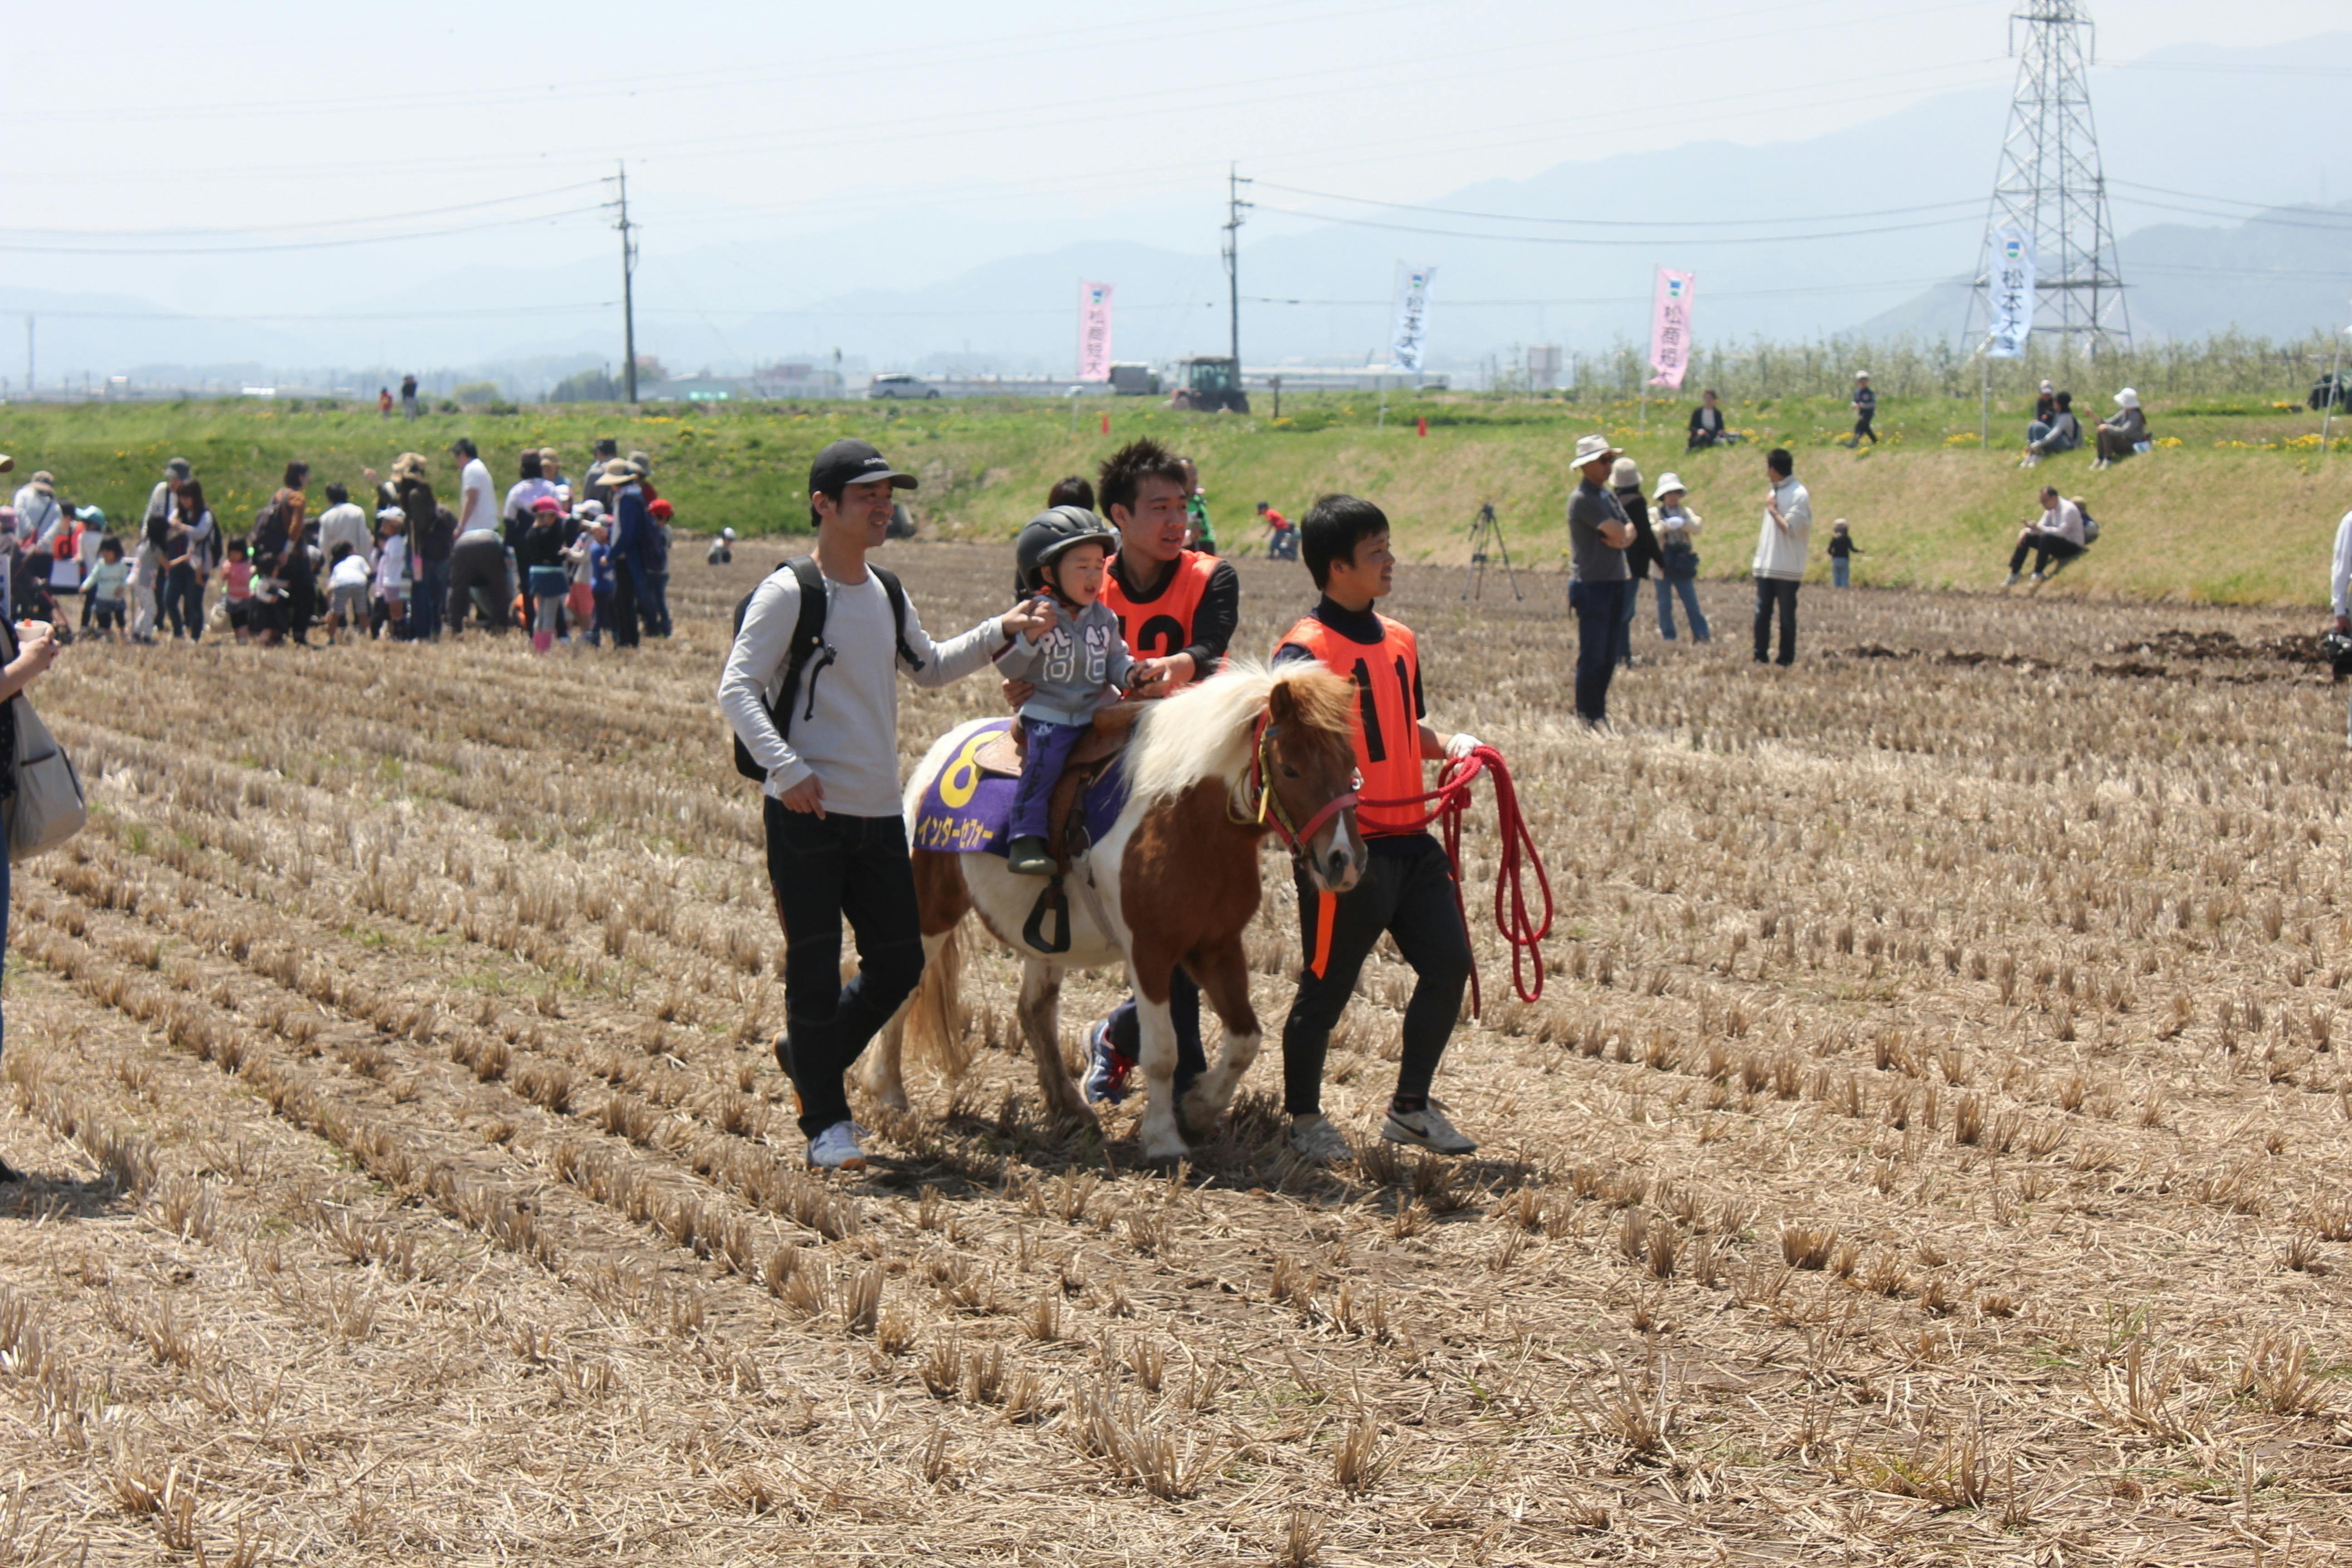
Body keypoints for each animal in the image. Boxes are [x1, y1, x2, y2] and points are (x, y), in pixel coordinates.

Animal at [870, 663, 1364, 1166]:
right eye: (1290, 769)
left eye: (1351, 767)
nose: (1344, 861)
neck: (1186, 818)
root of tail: (937, 757)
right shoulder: (1150, 952)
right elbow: (1163, 1052)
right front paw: (1163, 1138)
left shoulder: (1218, 946)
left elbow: (1246, 1039)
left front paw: (1199, 1109)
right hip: (932, 912)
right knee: (905, 993)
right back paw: (889, 1093)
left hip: (1043, 940)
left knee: (1034, 1011)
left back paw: (1069, 1108)